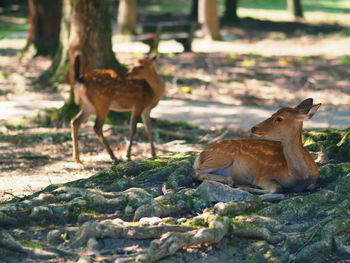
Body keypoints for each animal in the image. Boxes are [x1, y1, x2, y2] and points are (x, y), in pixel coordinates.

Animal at [193, 99, 322, 194]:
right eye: (273, 113)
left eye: (279, 118)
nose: (253, 128)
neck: (298, 175)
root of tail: (200, 156)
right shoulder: (263, 176)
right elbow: (277, 188)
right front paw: (243, 187)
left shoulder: (313, 183)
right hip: (221, 158)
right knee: (196, 172)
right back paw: (230, 181)